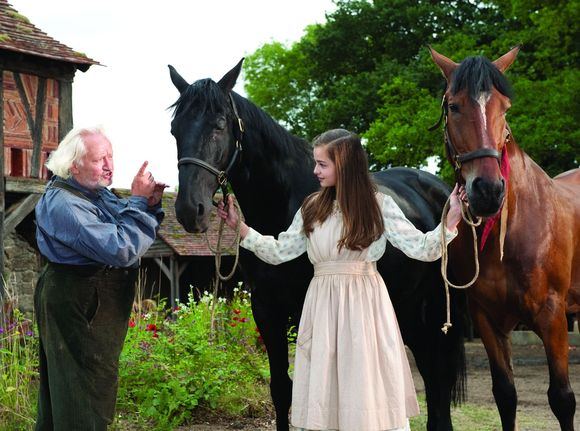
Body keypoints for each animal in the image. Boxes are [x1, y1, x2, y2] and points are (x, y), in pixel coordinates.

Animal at [168, 60, 466, 431]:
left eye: (219, 125)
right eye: (175, 129)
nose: (189, 210)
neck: (282, 202)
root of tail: (435, 187)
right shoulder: (266, 309)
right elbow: (281, 389)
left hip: (436, 310)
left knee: (439, 382)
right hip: (410, 310)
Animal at [428, 47, 576, 431]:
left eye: (505, 108)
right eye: (454, 106)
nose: (488, 191)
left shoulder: (553, 316)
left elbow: (563, 399)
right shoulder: (487, 319)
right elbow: (505, 395)